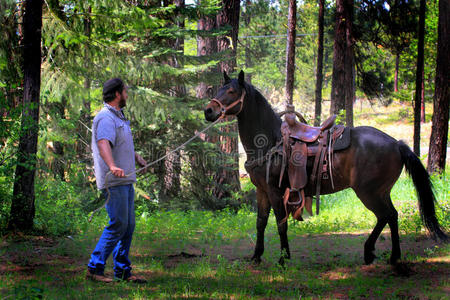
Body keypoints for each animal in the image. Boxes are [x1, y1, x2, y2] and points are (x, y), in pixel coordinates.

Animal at [204, 71, 446, 266]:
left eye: (232, 91)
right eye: (218, 89)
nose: (208, 110)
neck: (270, 141)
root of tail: (396, 143)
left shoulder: (275, 190)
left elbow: (281, 224)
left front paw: (283, 259)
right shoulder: (262, 191)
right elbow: (260, 223)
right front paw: (256, 256)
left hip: (369, 192)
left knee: (385, 215)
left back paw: (379, 253)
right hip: (381, 191)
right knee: (391, 216)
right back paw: (386, 255)